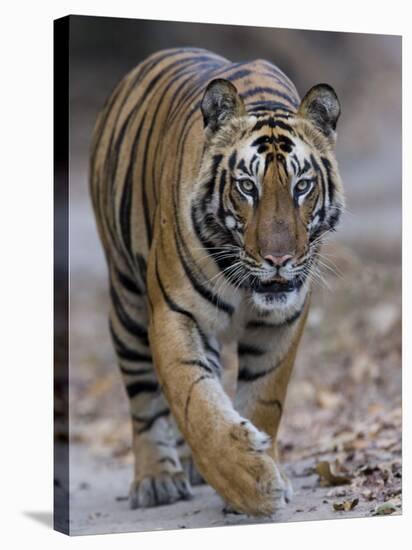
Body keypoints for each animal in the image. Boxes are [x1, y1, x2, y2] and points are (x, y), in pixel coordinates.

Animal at [90, 47, 344, 516]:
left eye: (302, 186)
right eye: (247, 186)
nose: (278, 260)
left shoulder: (284, 320)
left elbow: (264, 399)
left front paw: (265, 468)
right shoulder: (174, 313)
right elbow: (194, 402)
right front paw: (250, 483)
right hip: (128, 305)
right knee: (143, 398)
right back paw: (157, 479)